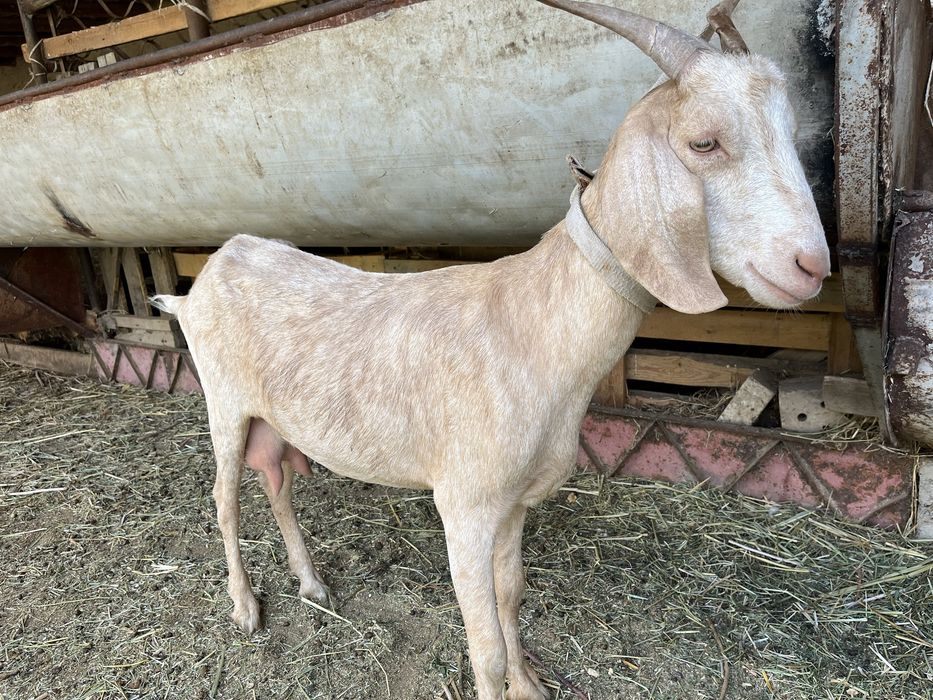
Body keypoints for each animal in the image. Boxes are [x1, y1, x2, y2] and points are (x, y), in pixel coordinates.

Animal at [152, 1, 830, 698]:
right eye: (704, 142)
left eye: (793, 130)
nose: (812, 267)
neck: (532, 325)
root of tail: (209, 273)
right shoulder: (466, 504)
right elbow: (485, 649)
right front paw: (505, 677)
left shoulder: (514, 502)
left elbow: (512, 595)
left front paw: (529, 685)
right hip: (223, 401)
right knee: (225, 500)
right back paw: (245, 607)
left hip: (272, 414)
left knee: (278, 481)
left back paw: (312, 582)